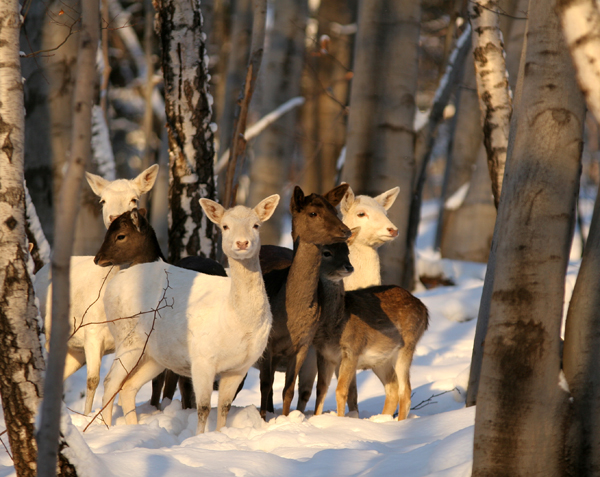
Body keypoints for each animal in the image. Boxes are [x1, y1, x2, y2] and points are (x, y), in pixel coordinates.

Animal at [35, 162, 159, 414]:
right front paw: (87, 418)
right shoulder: (91, 332)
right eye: (102, 200)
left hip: (74, 351)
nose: (114, 216)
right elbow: (93, 380)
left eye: (134, 198)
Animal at [99, 193, 282, 432]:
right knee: (110, 382)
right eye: (225, 226)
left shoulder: (240, 367)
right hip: (126, 337)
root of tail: (112, 286)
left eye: (256, 225)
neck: (237, 320)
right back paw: (106, 428)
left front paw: (220, 434)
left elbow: (224, 407)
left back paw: (132, 427)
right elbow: (202, 408)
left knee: (128, 386)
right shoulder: (202, 358)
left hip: (156, 354)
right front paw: (199, 437)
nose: (242, 243)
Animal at [258, 184, 352, 418]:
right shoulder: (267, 343)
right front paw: (263, 419)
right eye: (313, 213)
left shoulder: (304, 343)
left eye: (334, 210)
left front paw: (284, 419)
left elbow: (288, 389)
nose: (346, 231)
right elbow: (265, 385)